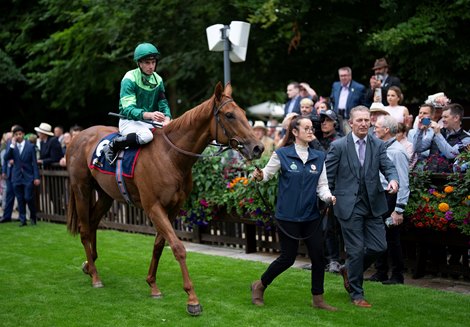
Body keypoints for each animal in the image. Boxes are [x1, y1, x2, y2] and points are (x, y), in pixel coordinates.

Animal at [66, 83, 264, 316]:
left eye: (243, 113)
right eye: (229, 115)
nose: (258, 147)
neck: (171, 157)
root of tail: (77, 137)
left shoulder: (173, 208)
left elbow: (159, 245)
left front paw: (152, 285)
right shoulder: (153, 207)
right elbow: (178, 248)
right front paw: (192, 300)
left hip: (106, 194)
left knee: (93, 223)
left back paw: (89, 265)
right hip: (82, 188)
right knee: (85, 229)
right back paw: (96, 277)